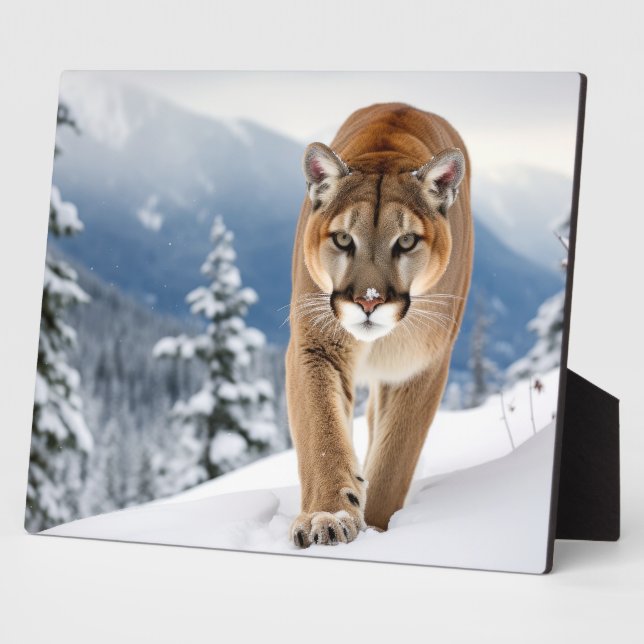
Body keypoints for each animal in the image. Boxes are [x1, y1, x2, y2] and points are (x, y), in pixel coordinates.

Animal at [286, 102, 473, 547]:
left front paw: (377, 526)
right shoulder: (315, 345)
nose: (368, 301)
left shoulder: (419, 365)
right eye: (342, 239)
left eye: (406, 241)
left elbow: (394, 457)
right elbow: (322, 434)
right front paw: (327, 515)